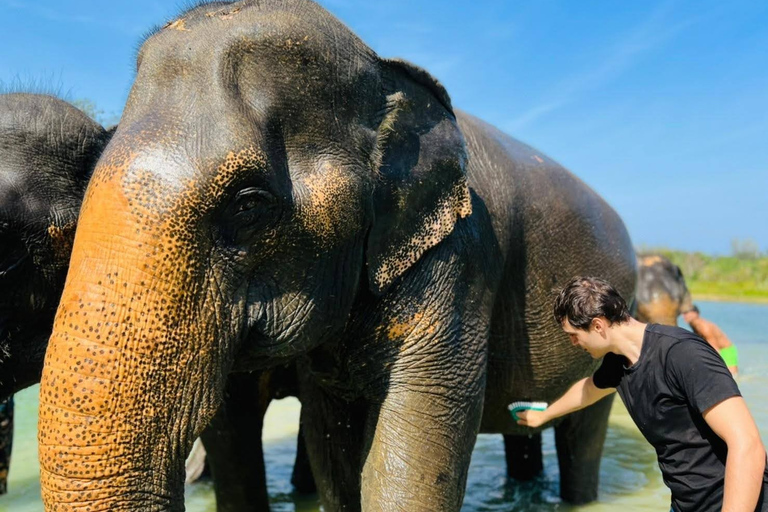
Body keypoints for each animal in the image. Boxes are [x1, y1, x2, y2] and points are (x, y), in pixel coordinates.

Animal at [36, 2, 636, 510]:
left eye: (249, 204)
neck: (383, 71)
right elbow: (332, 449)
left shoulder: (462, 256)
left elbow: (414, 442)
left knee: (584, 433)